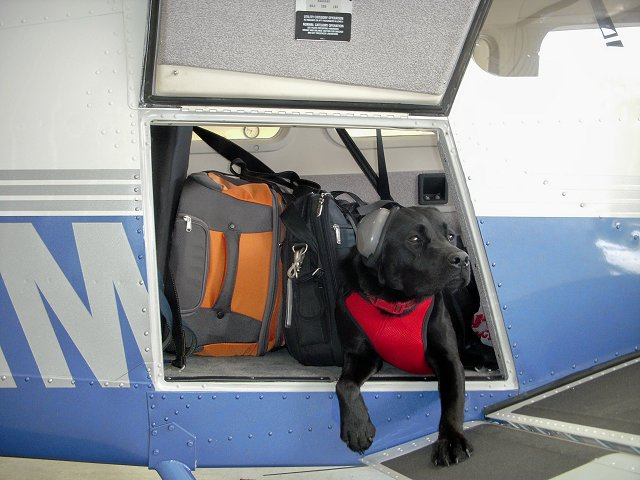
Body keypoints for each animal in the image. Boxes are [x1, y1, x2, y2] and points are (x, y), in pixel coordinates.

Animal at [332, 205, 472, 464]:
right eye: (414, 239)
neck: (396, 304)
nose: (463, 259)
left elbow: (453, 402)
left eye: (450, 236)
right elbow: (344, 384)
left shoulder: (449, 359)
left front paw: (451, 440)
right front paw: (357, 428)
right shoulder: (360, 354)